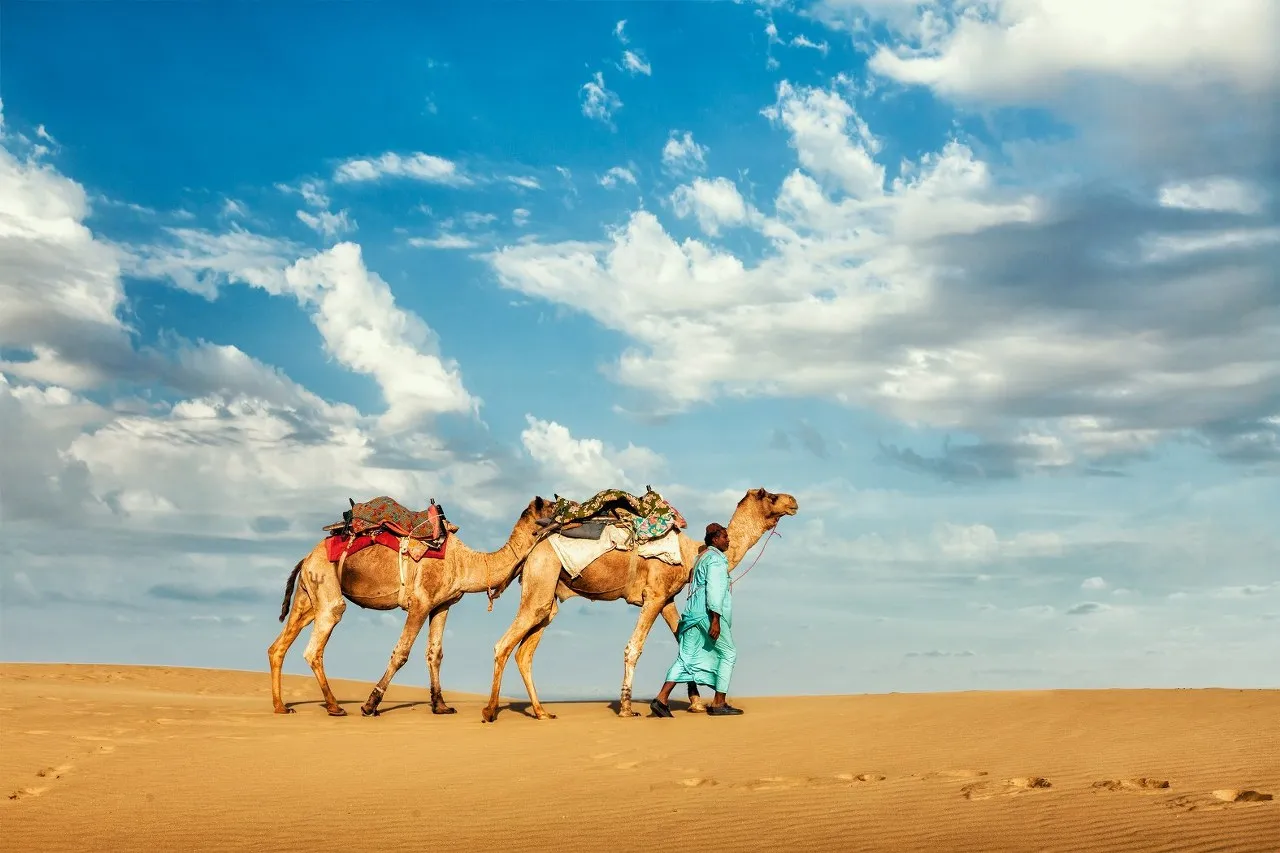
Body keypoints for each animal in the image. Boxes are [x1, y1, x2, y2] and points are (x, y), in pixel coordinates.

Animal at [268, 495, 554, 718]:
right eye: (555, 506)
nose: (567, 509)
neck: (465, 563)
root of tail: (306, 557)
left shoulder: (442, 605)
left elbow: (435, 653)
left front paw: (441, 706)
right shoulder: (420, 603)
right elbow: (401, 654)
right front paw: (370, 705)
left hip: (307, 596)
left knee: (278, 646)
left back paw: (282, 707)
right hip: (325, 583)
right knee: (316, 644)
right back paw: (334, 707)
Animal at [480, 487, 799, 722]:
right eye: (770, 496)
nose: (793, 501)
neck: (690, 553)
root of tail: (533, 547)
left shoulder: (667, 598)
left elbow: (681, 642)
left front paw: (694, 704)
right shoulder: (654, 595)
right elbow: (634, 647)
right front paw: (626, 707)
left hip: (548, 595)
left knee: (526, 651)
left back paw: (542, 712)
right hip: (542, 574)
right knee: (503, 644)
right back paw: (490, 710)